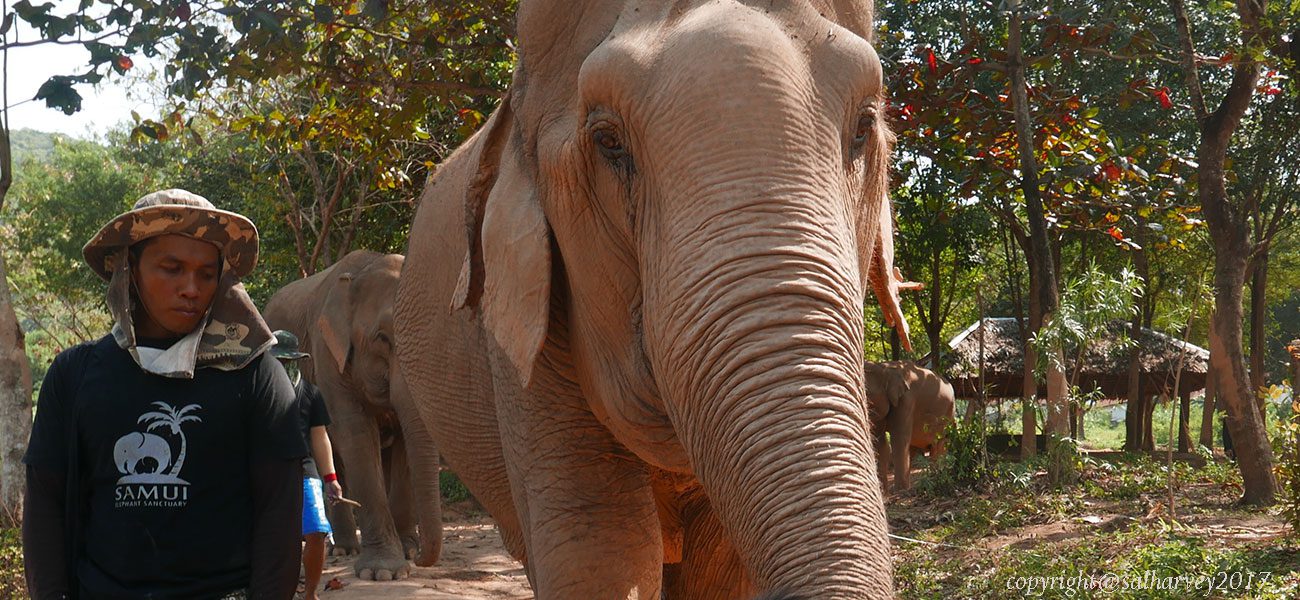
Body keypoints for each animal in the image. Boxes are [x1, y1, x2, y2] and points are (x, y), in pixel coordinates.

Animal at [263, 250, 442, 581]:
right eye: (382, 337)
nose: (422, 557)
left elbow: (404, 442)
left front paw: (407, 552)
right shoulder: (326, 353)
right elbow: (355, 433)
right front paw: (382, 573)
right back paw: (344, 550)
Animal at [863, 360, 956, 493]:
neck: (884, 368)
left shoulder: (907, 400)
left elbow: (899, 438)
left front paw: (899, 491)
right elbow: (879, 442)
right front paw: (883, 492)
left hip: (949, 413)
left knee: (938, 446)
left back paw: (935, 478)